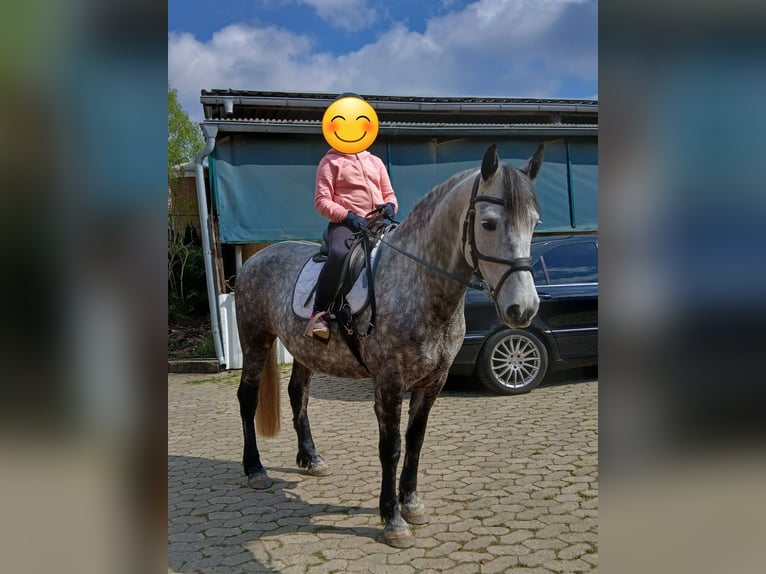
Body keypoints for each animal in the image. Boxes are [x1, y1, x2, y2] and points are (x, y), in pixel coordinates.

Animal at [234, 143, 544, 547]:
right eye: (489, 223)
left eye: (534, 223)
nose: (523, 309)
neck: (418, 284)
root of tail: (255, 258)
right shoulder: (389, 382)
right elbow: (391, 447)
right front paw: (392, 519)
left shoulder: (433, 381)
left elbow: (415, 440)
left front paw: (411, 503)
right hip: (255, 341)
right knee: (247, 399)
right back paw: (254, 469)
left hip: (305, 351)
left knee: (297, 394)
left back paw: (311, 458)